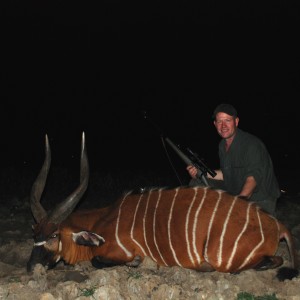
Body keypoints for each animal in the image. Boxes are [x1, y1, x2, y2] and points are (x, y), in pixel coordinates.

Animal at [27, 132, 298, 280]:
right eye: (34, 234)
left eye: (53, 236)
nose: (31, 268)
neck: (104, 220)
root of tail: (277, 225)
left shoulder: (120, 251)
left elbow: (100, 261)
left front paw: (138, 263)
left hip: (225, 258)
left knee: (272, 261)